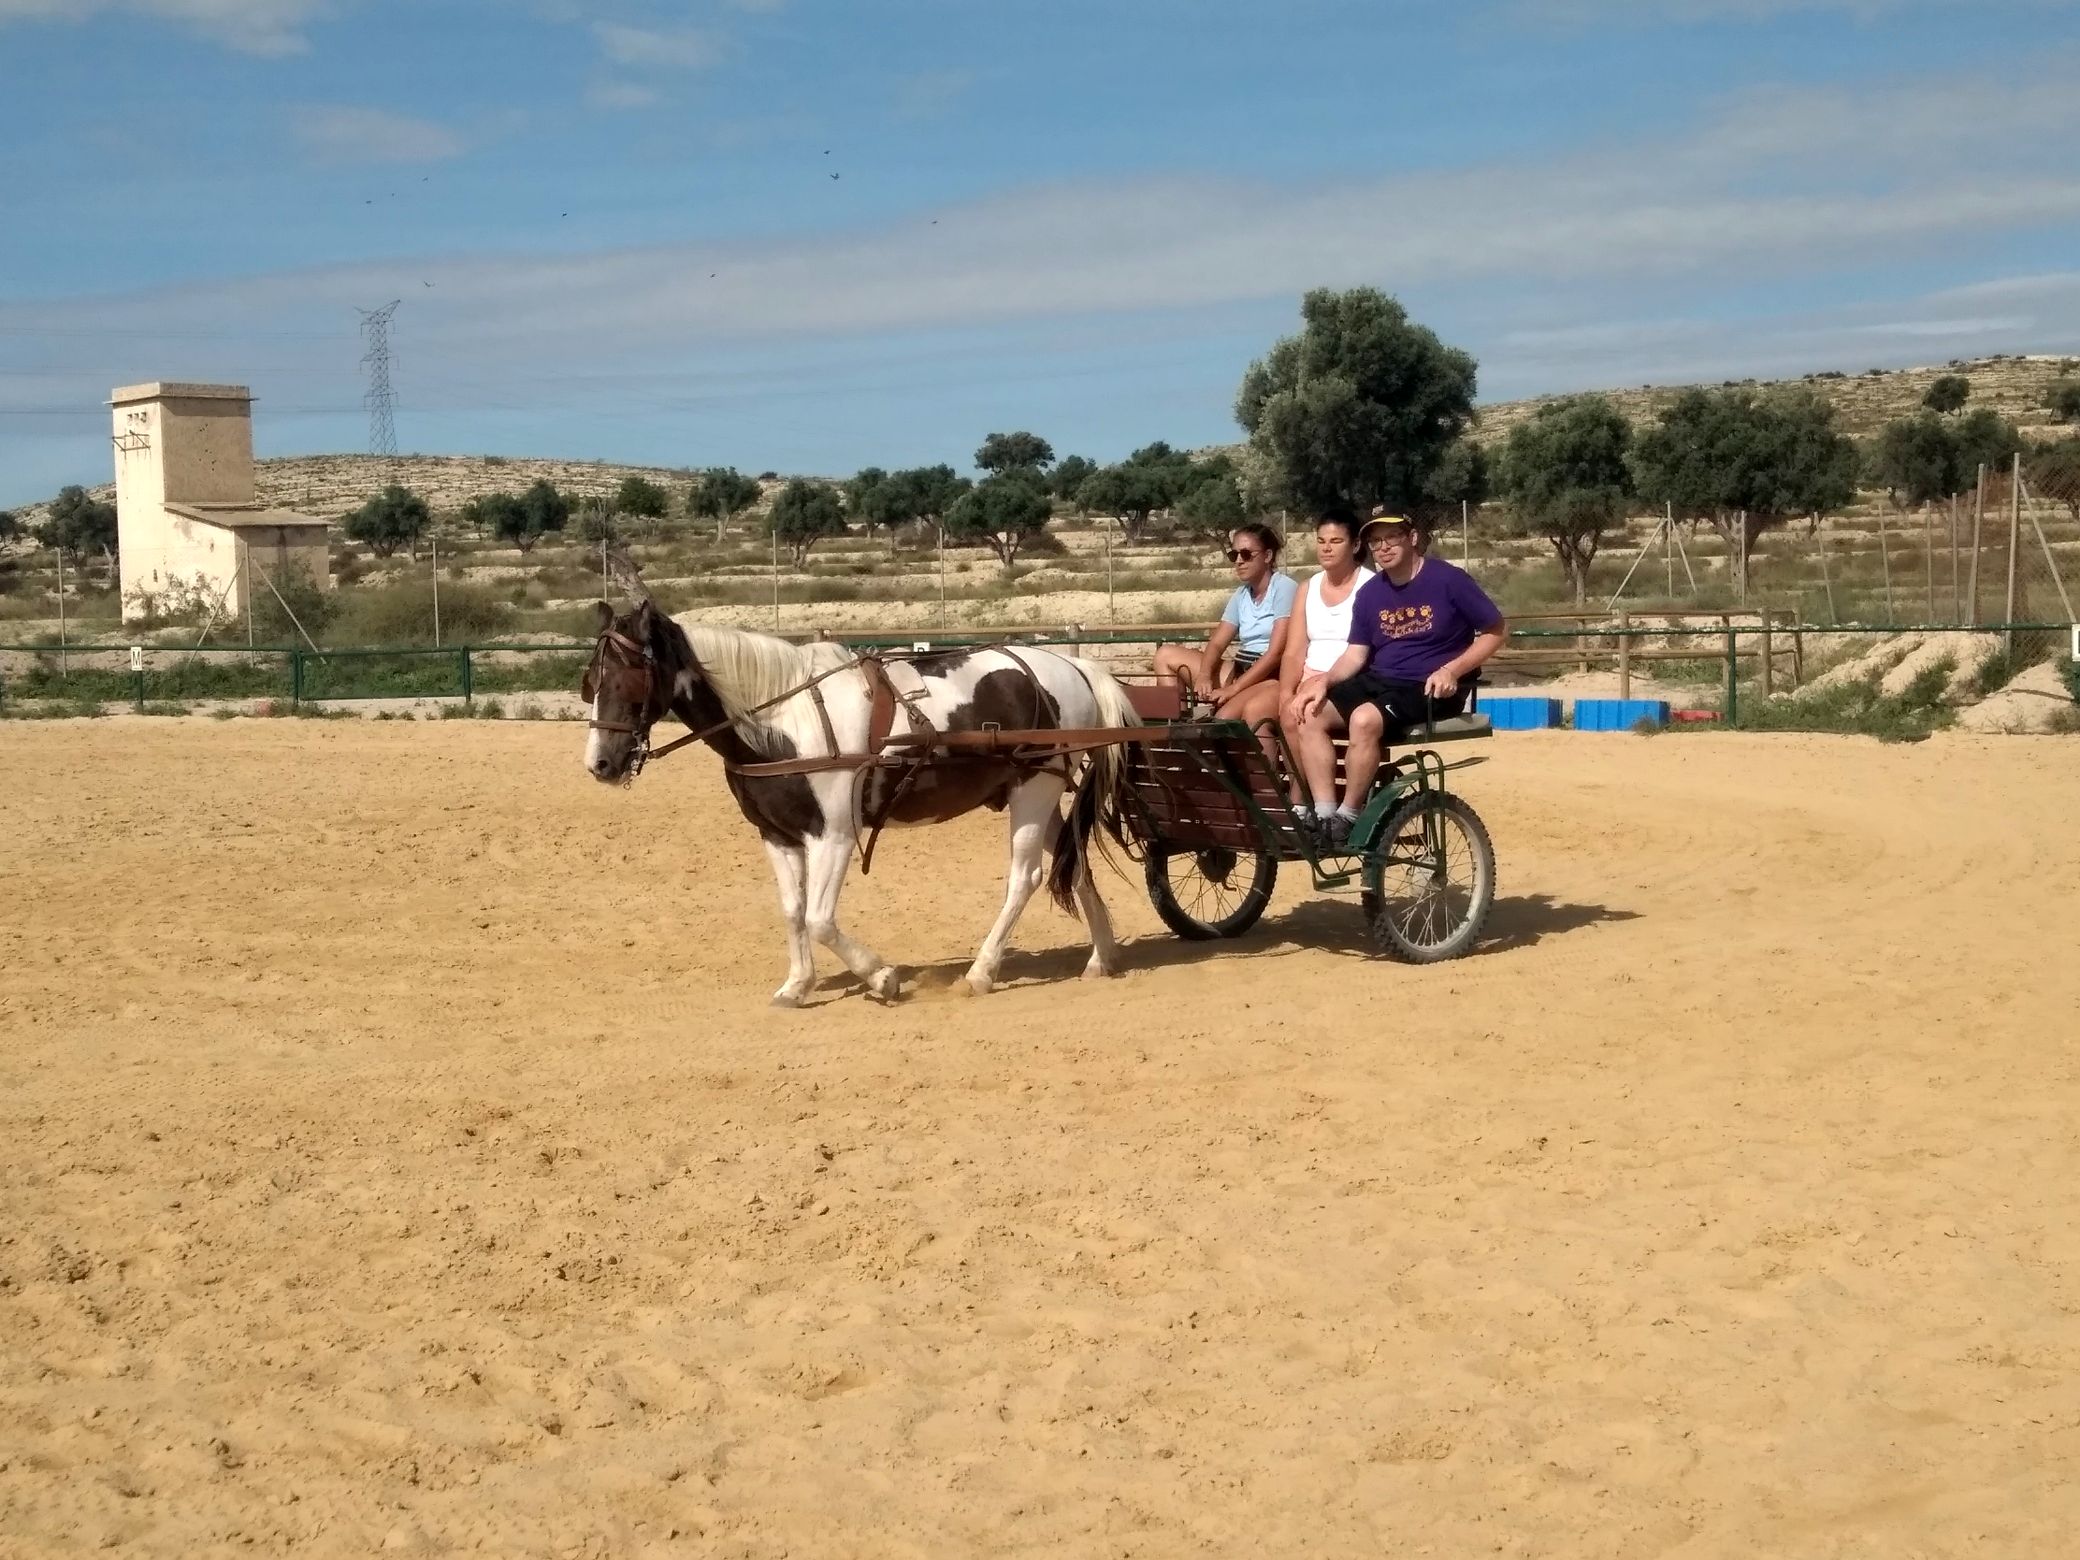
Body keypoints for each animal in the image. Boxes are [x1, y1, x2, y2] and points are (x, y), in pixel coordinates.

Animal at [579, 594, 1139, 1006]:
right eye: (591, 681)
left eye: (628, 677)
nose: (600, 764)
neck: (784, 721)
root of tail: (1074, 667)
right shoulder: (777, 836)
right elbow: (793, 910)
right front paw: (797, 985)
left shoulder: (833, 836)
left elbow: (819, 919)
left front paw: (881, 977)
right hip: (1040, 796)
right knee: (1074, 862)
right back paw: (1101, 959)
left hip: (1034, 790)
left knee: (1026, 878)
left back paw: (982, 972)